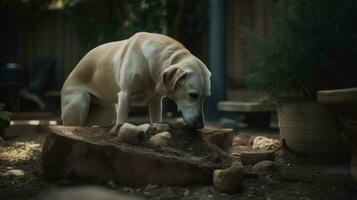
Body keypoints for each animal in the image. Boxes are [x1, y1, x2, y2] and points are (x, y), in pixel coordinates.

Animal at [60, 32, 210, 130]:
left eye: (205, 98)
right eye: (192, 95)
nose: (200, 125)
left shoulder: (156, 101)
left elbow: (156, 120)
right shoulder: (124, 96)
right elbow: (121, 122)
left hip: (107, 111)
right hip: (81, 100)